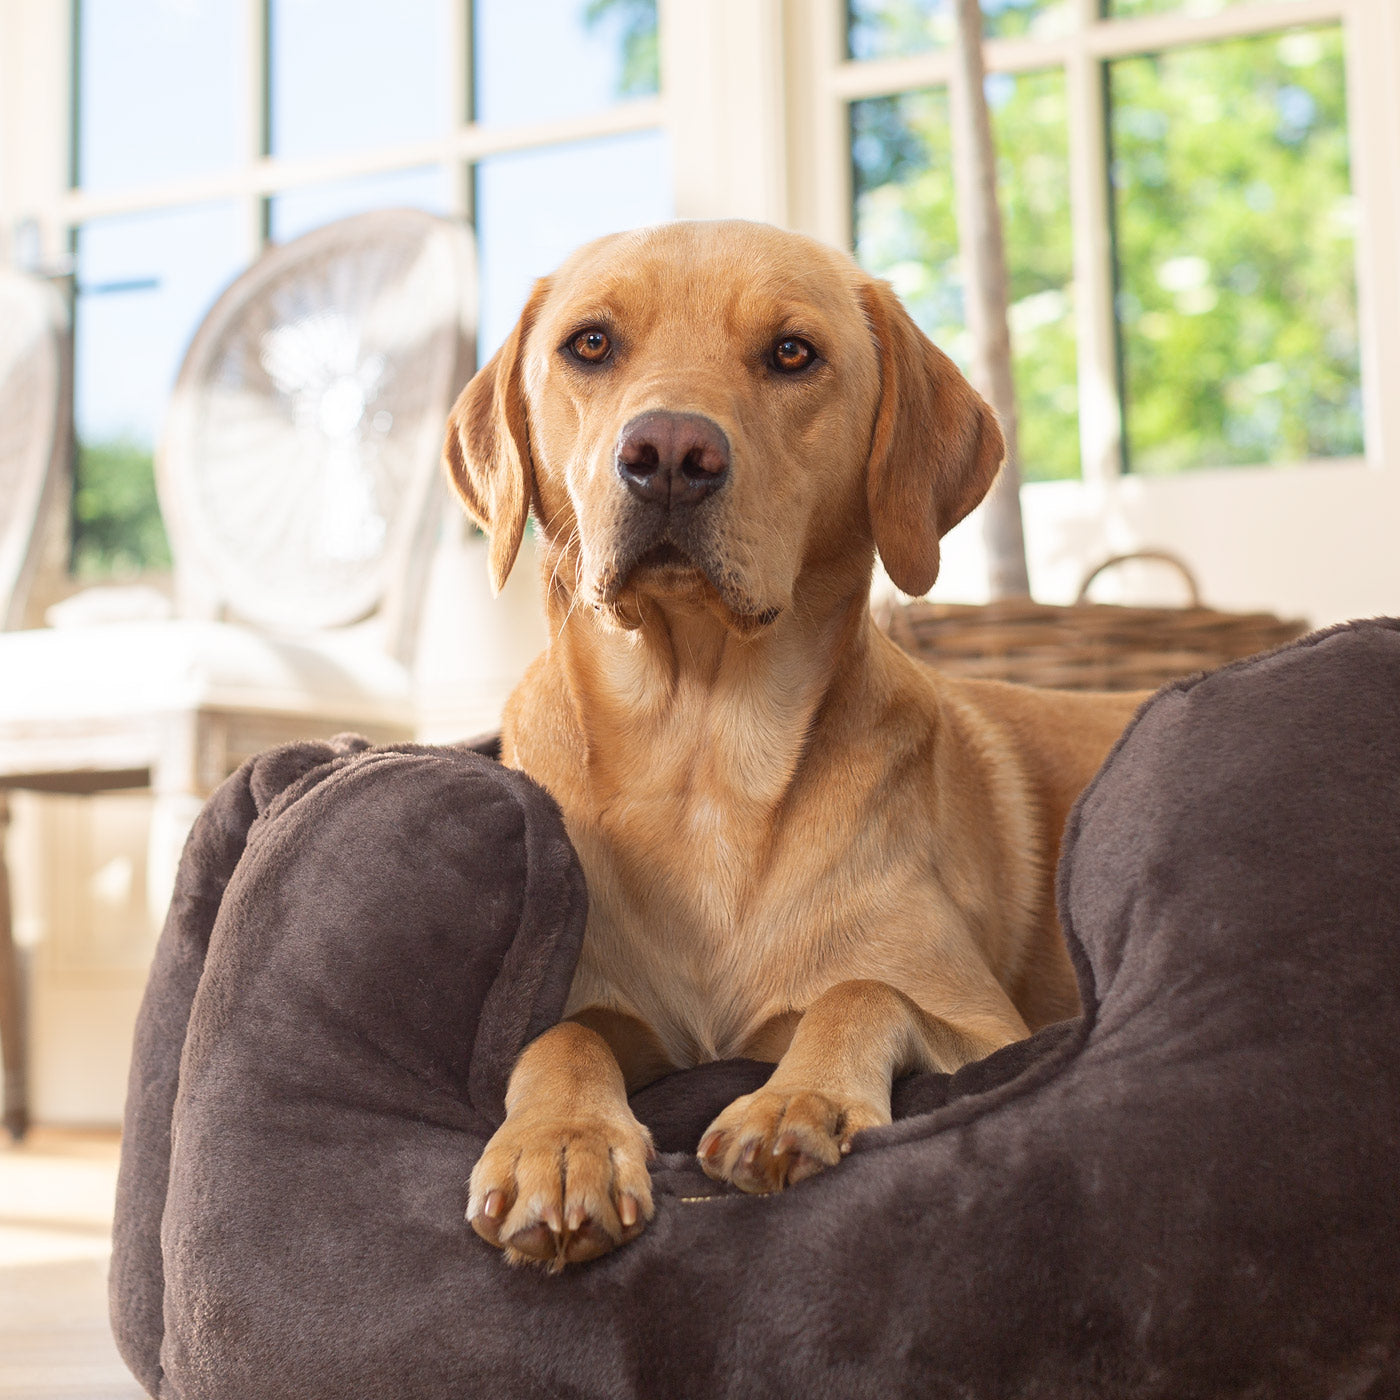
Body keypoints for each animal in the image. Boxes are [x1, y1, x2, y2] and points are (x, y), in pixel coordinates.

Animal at [448, 215, 1136, 1271]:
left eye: (792, 354)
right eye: (591, 344)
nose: (670, 452)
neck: (700, 754)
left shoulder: (993, 1030)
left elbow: (860, 991)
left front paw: (797, 1101)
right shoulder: (599, 1004)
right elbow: (560, 1038)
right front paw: (559, 1144)